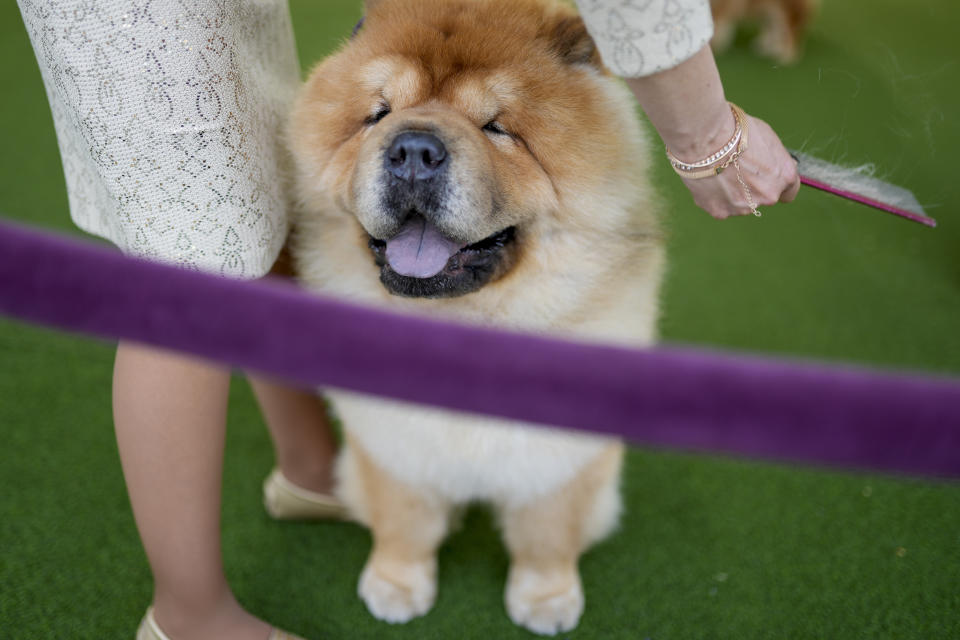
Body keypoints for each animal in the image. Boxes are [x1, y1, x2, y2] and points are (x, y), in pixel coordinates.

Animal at [288, 0, 664, 632]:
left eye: (496, 127)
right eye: (379, 115)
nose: (413, 151)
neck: (463, 326)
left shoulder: (558, 457)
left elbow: (545, 533)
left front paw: (545, 600)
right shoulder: (391, 440)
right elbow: (405, 521)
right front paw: (396, 586)